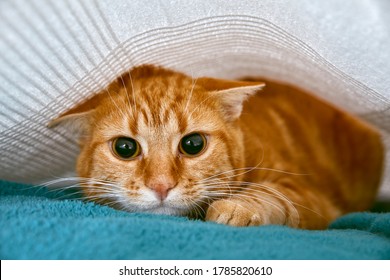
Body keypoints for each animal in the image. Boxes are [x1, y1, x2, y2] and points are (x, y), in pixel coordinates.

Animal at [49, 65, 384, 230]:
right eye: (125, 148)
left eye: (193, 144)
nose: (161, 186)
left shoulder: (310, 196)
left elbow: (273, 193)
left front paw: (236, 207)